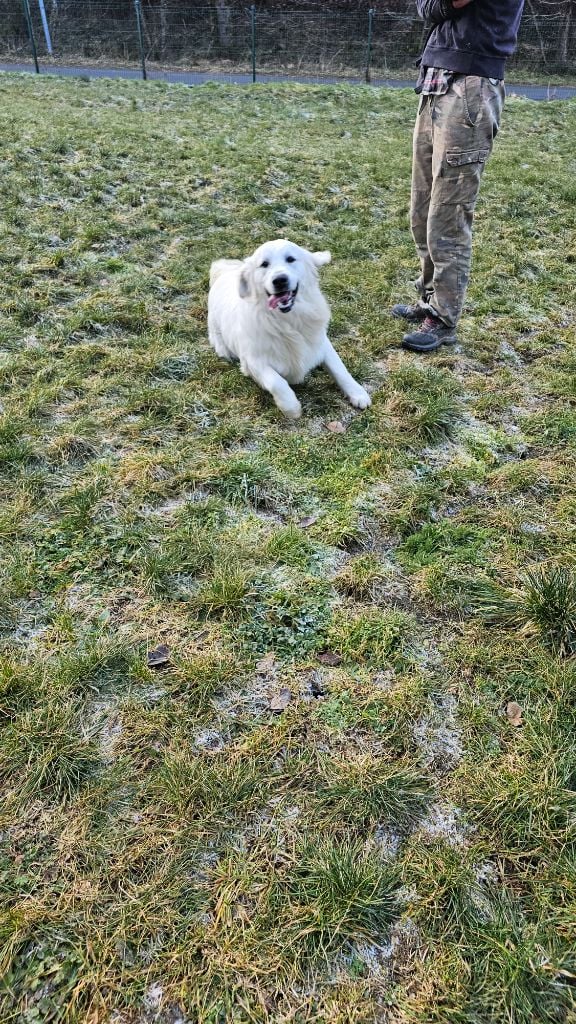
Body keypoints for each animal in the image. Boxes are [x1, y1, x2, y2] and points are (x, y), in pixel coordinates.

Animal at [208, 237, 368, 417]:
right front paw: (291, 407)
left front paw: (358, 393)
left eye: (290, 259)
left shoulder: (322, 344)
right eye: (264, 264)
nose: (280, 280)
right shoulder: (253, 361)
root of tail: (224, 272)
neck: (288, 321)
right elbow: (277, 381)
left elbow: (339, 368)